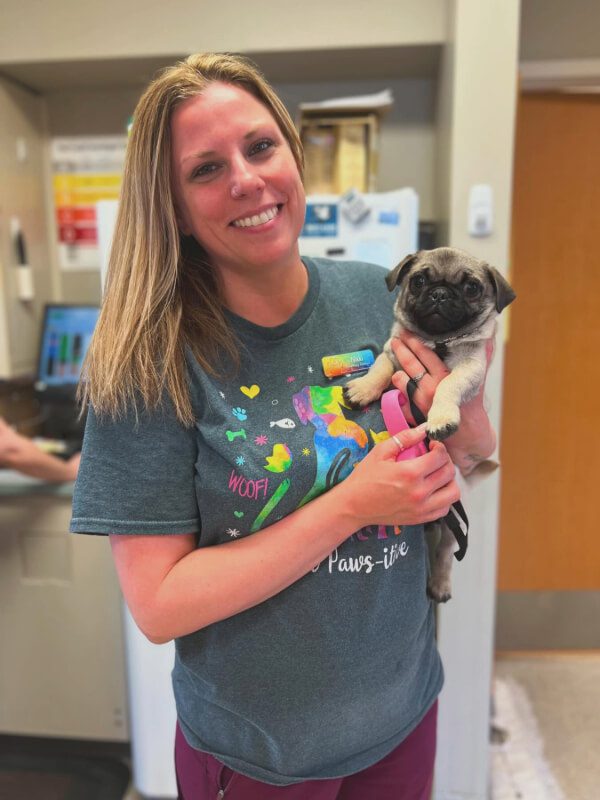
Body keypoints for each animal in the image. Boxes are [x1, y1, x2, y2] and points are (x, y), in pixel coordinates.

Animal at [344, 247, 516, 604]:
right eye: (419, 281)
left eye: (472, 288)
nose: (439, 293)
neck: (439, 342)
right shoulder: (393, 349)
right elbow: (380, 368)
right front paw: (364, 388)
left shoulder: (471, 368)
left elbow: (448, 384)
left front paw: (440, 417)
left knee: (444, 553)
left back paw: (440, 584)